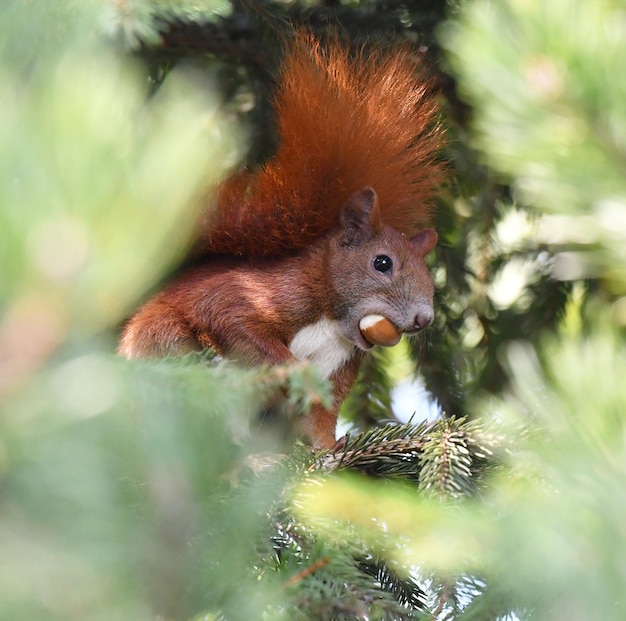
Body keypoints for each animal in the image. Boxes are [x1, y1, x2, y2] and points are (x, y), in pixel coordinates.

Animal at [118, 34, 444, 448]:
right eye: (382, 263)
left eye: (431, 280)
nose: (423, 319)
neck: (331, 323)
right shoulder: (250, 296)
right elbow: (239, 325)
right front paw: (297, 373)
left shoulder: (339, 368)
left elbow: (319, 417)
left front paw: (331, 450)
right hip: (161, 338)